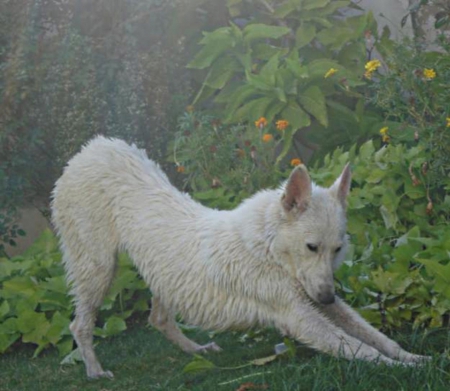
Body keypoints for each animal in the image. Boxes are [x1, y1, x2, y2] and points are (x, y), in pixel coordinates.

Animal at [51, 137, 428, 380]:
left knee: (158, 319)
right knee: (79, 325)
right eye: (311, 247)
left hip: (163, 275)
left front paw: (414, 356)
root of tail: (91, 148)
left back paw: (197, 350)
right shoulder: (299, 316)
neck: (268, 247)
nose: (326, 298)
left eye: (337, 250)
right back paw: (95, 371)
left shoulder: (320, 301)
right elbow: (358, 347)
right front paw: (401, 369)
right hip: (98, 267)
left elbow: (376, 336)